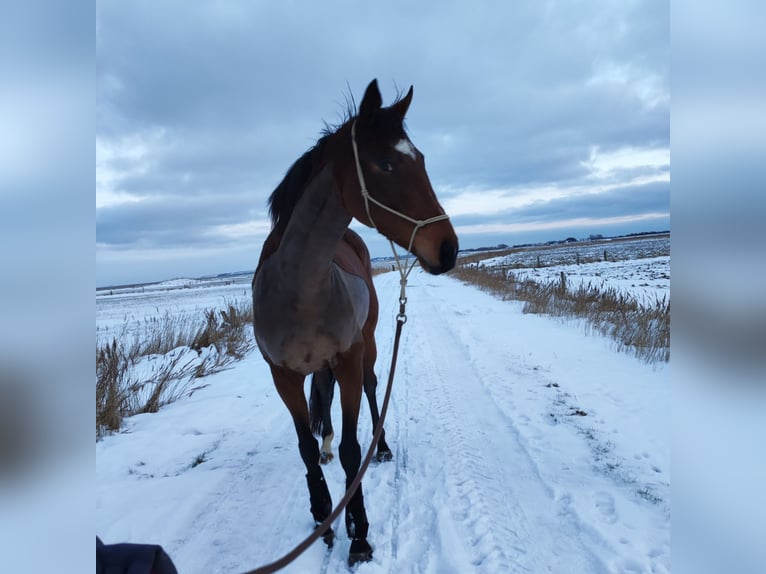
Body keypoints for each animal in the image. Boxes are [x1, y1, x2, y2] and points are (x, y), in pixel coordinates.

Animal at [252, 80, 460, 568]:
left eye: (421, 159)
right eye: (385, 163)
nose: (448, 249)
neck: (299, 288)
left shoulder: (348, 359)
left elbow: (351, 449)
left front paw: (358, 531)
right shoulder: (282, 376)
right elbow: (306, 448)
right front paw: (323, 515)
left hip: (368, 346)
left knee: (371, 388)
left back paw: (380, 450)